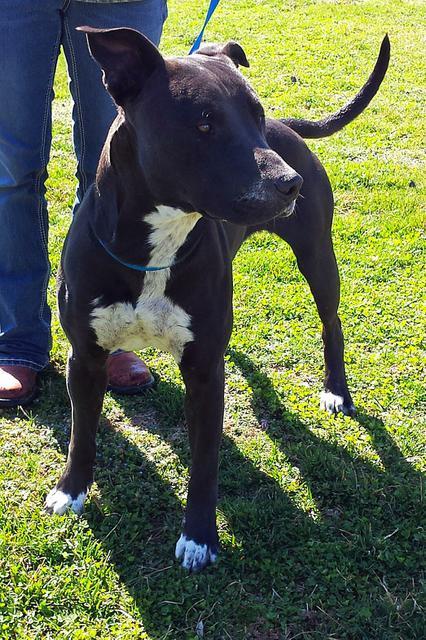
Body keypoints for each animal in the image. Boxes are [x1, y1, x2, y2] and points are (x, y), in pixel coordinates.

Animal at [45, 27, 390, 572]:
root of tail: (289, 126)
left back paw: (336, 389)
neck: (156, 247)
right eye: (204, 123)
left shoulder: (204, 369)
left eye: (255, 114)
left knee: (331, 322)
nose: (288, 183)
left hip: (317, 254)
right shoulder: (86, 356)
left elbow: (205, 459)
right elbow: (82, 432)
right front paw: (71, 491)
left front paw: (199, 536)